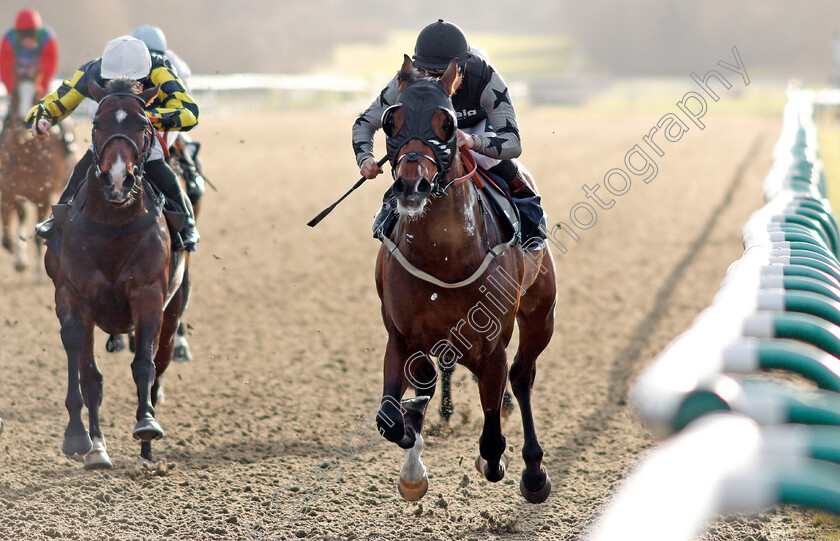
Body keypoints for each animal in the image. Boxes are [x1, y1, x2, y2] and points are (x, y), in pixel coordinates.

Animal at [0, 67, 72, 276]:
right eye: (15, 95)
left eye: (36, 95)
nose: (24, 126)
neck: (26, 158)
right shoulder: (11, 190)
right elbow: (16, 218)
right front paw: (19, 258)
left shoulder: (44, 196)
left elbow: (41, 233)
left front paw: (40, 272)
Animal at [47, 76, 190, 468]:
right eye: (97, 123)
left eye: (143, 125)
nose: (117, 180)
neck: (112, 225)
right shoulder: (74, 298)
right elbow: (87, 376)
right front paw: (86, 442)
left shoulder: (149, 295)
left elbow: (144, 366)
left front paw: (146, 425)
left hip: (174, 311)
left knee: (158, 366)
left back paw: (146, 453)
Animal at [376, 58, 556, 502]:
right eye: (392, 121)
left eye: (448, 123)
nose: (411, 184)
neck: (444, 257)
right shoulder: (401, 337)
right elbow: (392, 419)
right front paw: (412, 465)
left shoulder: (492, 347)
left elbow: (492, 440)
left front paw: (494, 460)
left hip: (541, 315)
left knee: (522, 377)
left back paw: (533, 472)